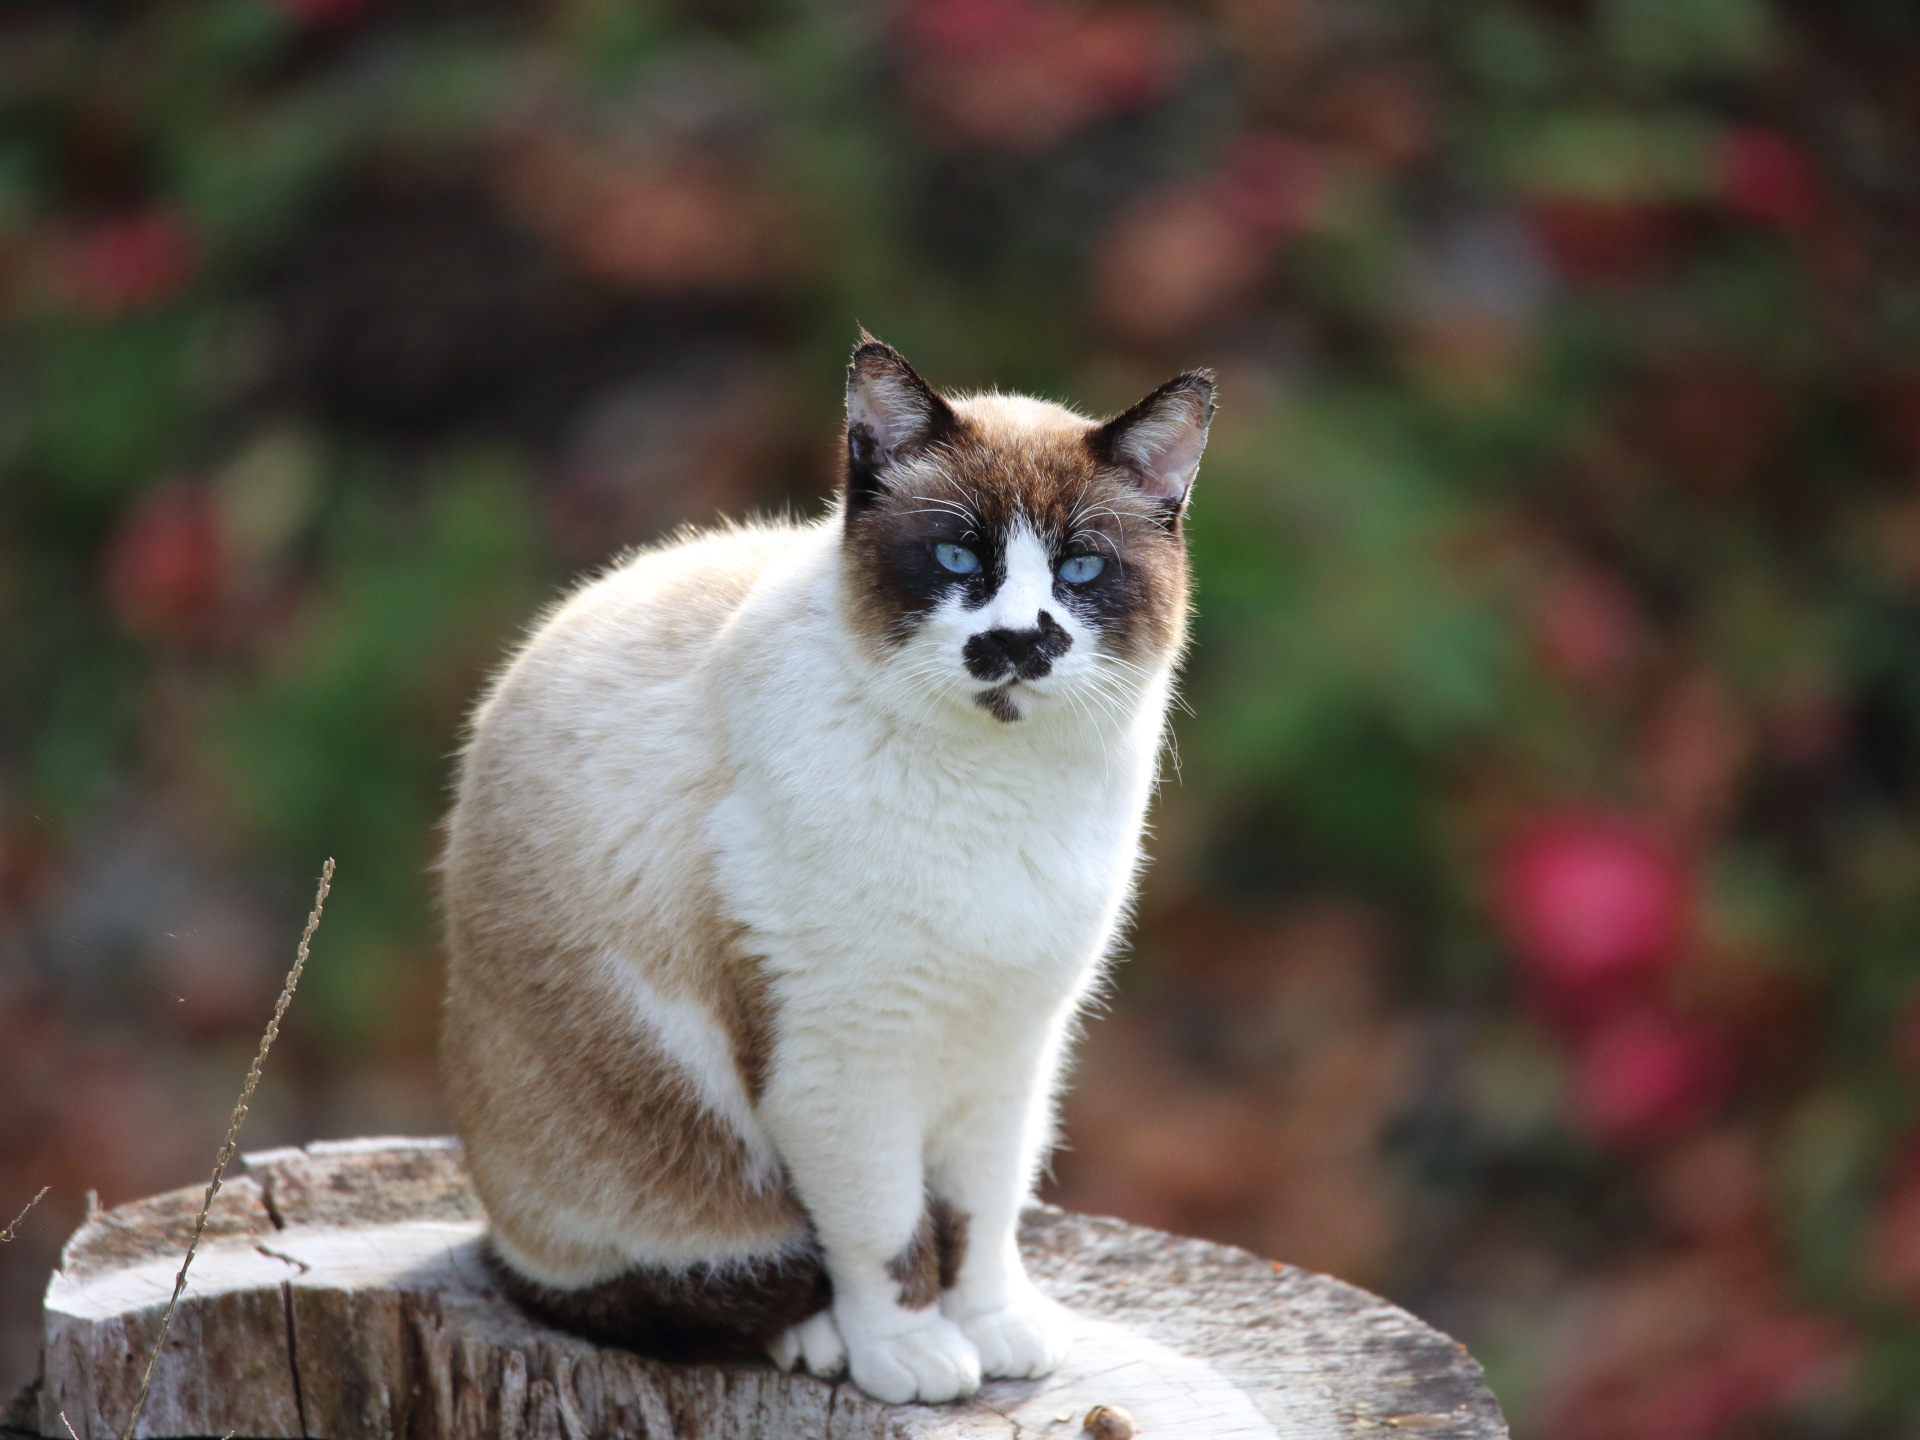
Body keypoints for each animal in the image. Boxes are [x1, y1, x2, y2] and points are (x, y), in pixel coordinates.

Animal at [441, 332, 1205, 1405]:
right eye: (957, 557)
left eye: (1082, 568)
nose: (1019, 641)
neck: (995, 789)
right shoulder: (843, 1062)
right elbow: (889, 1233)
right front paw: (917, 1354)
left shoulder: (1010, 1047)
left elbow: (979, 1221)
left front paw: (993, 1331)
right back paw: (822, 1338)